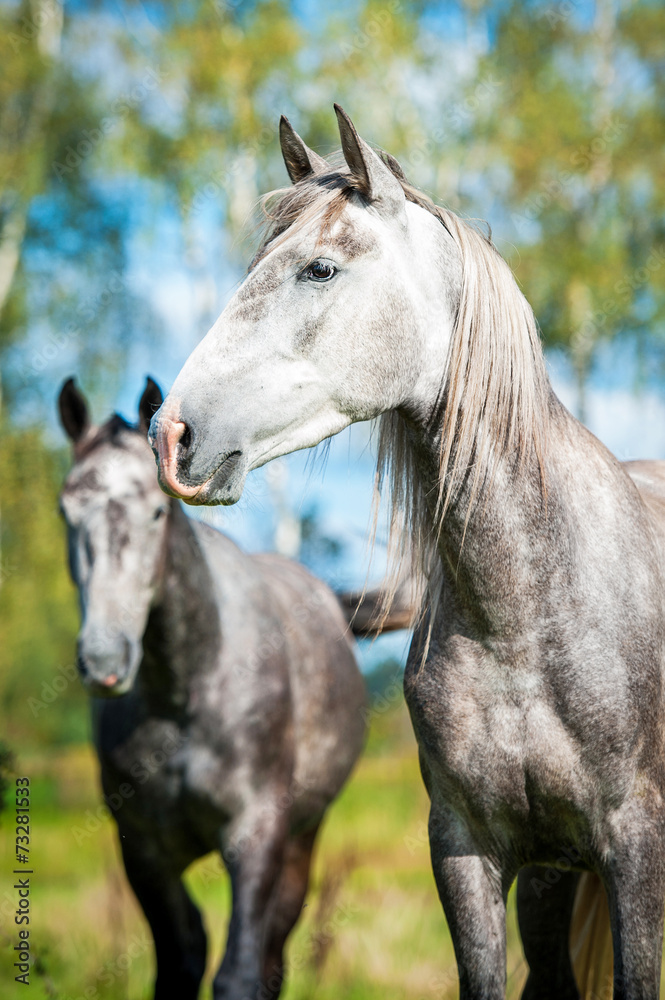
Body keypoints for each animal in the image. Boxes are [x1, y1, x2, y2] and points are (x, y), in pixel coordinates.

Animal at [59, 376, 366, 1000]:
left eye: (157, 511)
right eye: (67, 510)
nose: (104, 659)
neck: (188, 694)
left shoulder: (256, 833)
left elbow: (240, 973)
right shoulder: (144, 854)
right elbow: (182, 956)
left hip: (303, 836)